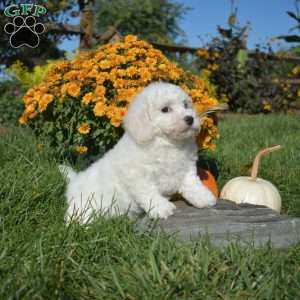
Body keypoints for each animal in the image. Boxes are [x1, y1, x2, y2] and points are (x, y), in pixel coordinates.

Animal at [59, 81, 217, 221]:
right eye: (165, 109)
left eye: (185, 105)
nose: (190, 118)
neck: (168, 143)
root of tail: (74, 181)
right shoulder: (138, 176)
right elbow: (149, 192)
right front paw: (162, 208)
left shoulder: (186, 169)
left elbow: (192, 184)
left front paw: (204, 197)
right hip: (84, 204)